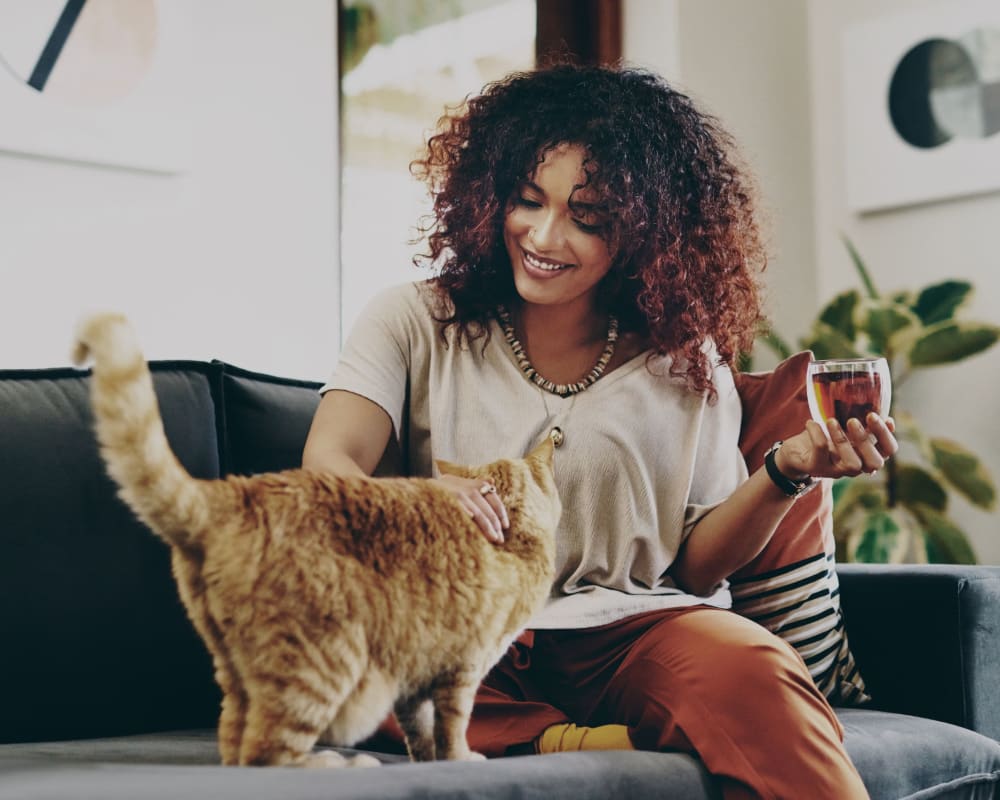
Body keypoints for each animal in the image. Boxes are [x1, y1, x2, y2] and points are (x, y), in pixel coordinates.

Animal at [72, 312, 564, 768]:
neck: (511, 539)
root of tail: (234, 492)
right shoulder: (461, 667)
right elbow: (453, 725)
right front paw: (459, 760)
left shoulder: (415, 672)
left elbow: (421, 730)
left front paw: (428, 760)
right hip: (323, 663)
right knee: (267, 754)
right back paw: (340, 763)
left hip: (237, 672)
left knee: (235, 747)